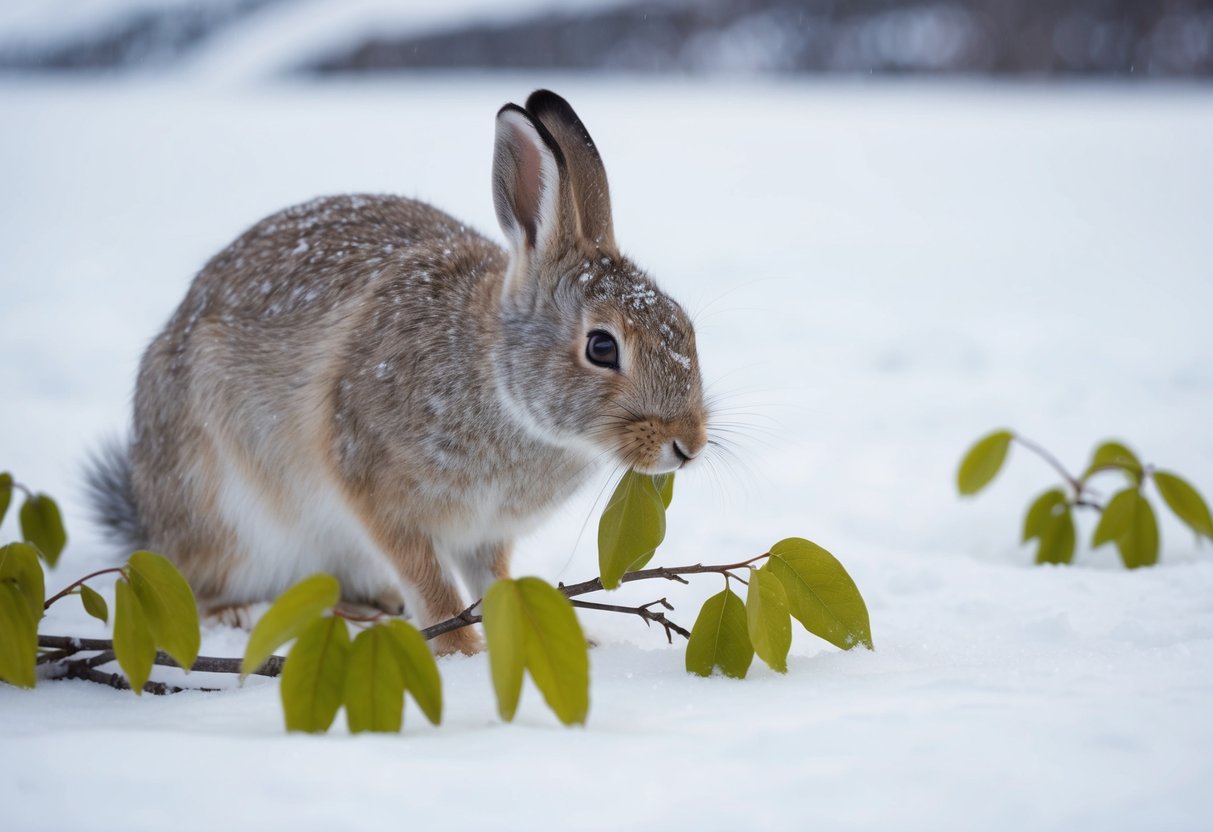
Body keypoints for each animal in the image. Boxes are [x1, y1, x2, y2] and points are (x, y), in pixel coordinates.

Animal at [87, 90, 709, 655]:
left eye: (683, 325)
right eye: (602, 347)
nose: (688, 444)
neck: (494, 374)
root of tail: (148, 517)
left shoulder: (486, 535)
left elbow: (493, 581)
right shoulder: (376, 486)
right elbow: (431, 582)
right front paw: (460, 651)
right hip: (219, 505)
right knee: (198, 581)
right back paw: (246, 612)